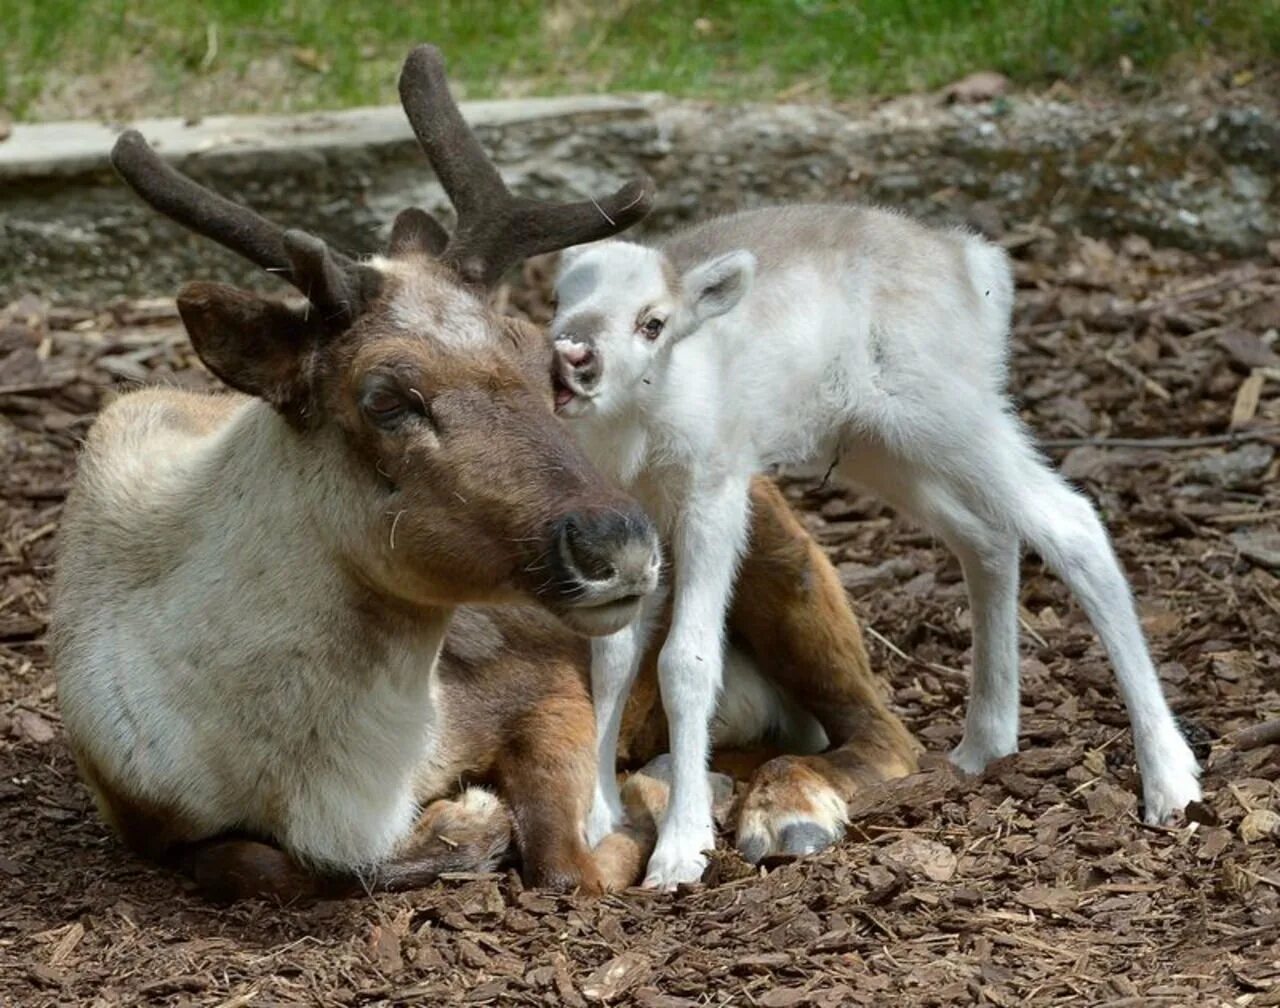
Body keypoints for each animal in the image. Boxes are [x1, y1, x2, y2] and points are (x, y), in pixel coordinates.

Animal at [550, 207, 1198, 890]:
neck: (638, 432)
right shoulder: (634, 522)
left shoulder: (714, 491)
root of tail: (979, 267)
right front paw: (599, 818)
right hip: (880, 444)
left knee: (1071, 522)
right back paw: (985, 744)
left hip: (952, 413)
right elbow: (611, 659)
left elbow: (686, 661)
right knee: (987, 538)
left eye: (653, 322)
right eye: (559, 301)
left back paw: (1169, 779)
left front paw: (680, 851)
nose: (573, 356)